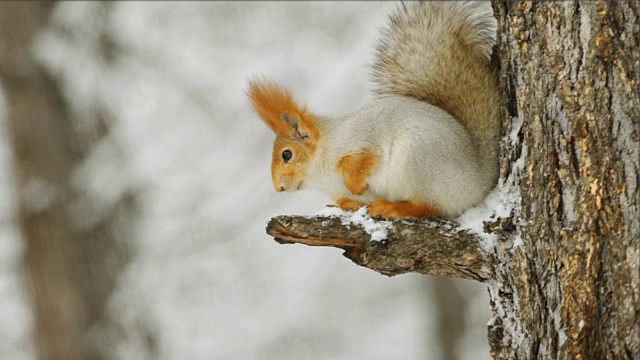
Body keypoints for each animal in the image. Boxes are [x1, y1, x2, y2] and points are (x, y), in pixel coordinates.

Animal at [248, 2, 502, 219]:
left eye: (286, 154)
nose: (278, 188)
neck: (320, 171)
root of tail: (477, 181)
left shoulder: (360, 138)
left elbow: (364, 160)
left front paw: (355, 184)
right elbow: (345, 200)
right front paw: (344, 205)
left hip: (417, 162)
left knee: (429, 206)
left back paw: (393, 208)